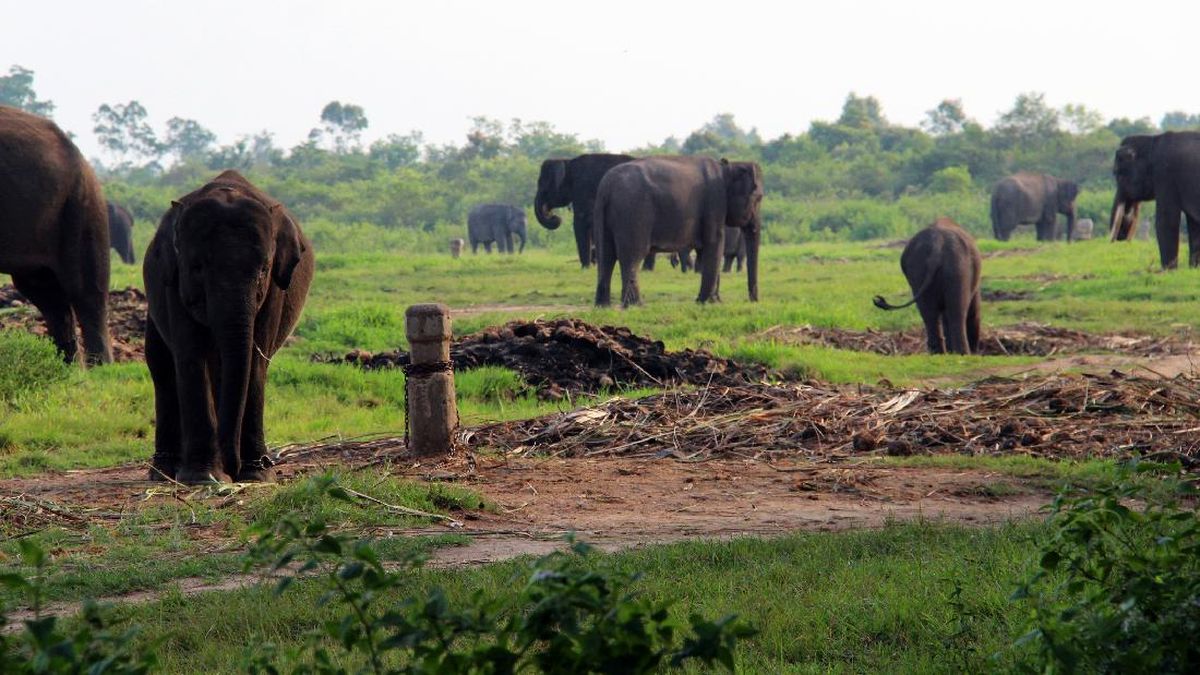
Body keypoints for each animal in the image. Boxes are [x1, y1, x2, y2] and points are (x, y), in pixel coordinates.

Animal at [143, 170, 314, 484]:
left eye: (263, 269)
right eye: (196, 267)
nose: (232, 467)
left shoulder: (275, 290)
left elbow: (255, 362)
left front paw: (256, 474)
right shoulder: (172, 283)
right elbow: (190, 357)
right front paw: (202, 478)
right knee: (161, 365)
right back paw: (163, 473)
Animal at [593, 156, 762, 307]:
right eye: (759, 198)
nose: (753, 301)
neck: (727, 167)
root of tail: (606, 187)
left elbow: (705, 250)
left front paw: (711, 301)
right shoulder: (715, 203)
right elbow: (715, 244)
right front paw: (708, 302)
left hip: (604, 215)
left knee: (606, 255)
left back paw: (603, 305)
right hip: (633, 214)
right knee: (632, 256)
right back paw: (636, 305)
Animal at [873, 217, 982, 355]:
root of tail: (937, 245)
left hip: (918, 269)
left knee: (928, 312)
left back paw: (938, 353)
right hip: (959, 268)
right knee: (957, 311)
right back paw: (962, 353)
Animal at [1109, 132, 1200, 269]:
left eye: (1118, 174)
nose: (1121, 238)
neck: (1152, 140)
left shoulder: (1165, 176)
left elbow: (1165, 221)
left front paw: (1168, 270)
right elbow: (1194, 225)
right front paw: (1193, 268)